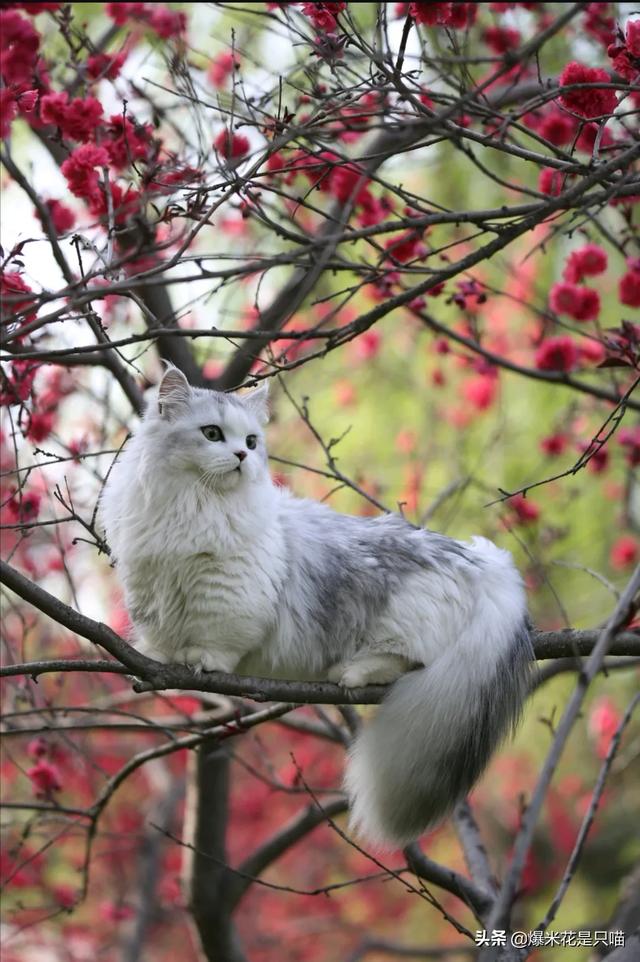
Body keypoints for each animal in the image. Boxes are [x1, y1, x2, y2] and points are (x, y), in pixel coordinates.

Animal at [99, 368, 528, 848]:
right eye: (211, 434)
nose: (241, 456)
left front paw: (204, 663)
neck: (192, 504)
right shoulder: (151, 588)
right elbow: (159, 639)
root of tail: (484, 563)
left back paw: (353, 673)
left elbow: (217, 639)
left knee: (403, 658)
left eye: (251, 441)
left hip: (405, 626)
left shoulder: (228, 591)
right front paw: (159, 660)